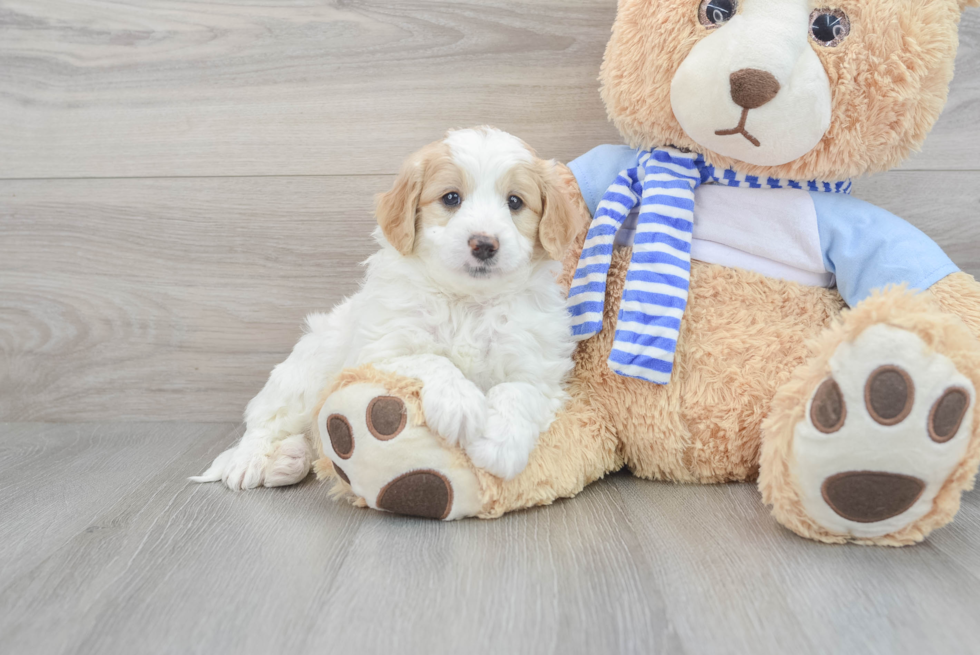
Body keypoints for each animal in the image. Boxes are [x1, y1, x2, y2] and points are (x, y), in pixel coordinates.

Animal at [195, 125, 584, 490]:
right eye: (451, 198)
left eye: (515, 202)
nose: (484, 244)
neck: (467, 302)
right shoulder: (378, 352)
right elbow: (431, 359)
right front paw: (460, 403)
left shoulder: (539, 366)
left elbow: (519, 390)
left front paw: (500, 444)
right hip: (301, 377)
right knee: (265, 422)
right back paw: (251, 461)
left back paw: (289, 460)